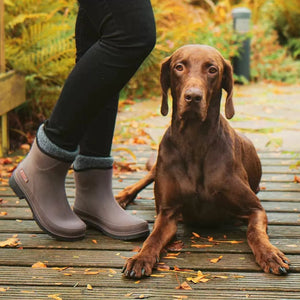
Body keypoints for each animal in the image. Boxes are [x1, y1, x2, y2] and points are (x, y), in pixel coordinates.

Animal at [118, 44, 290, 276]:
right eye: (179, 67)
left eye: (212, 70)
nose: (193, 97)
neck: (195, 140)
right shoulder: (167, 213)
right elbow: (153, 238)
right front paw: (140, 258)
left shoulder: (255, 209)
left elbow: (255, 232)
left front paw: (270, 254)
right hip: (157, 167)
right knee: (142, 180)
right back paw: (120, 198)